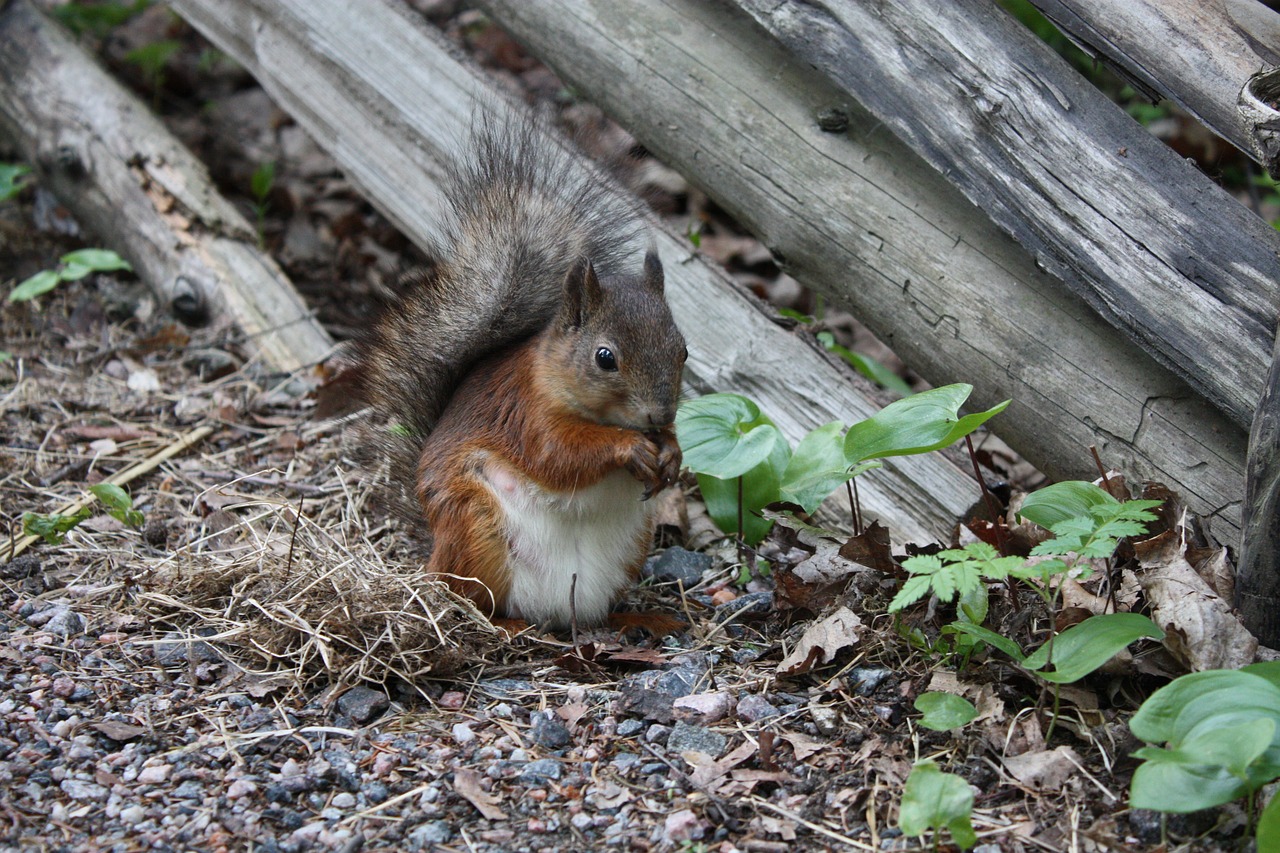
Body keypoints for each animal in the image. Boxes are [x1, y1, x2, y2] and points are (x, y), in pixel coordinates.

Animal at [350, 116, 686, 627]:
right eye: (604, 357)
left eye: (683, 350)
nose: (659, 414)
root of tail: (549, 612)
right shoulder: (525, 412)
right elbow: (558, 454)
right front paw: (630, 448)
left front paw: (671, 454)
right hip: (475, 526)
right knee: (471, 598)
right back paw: (503, 626)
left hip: (630, 549)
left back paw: (640, 620)